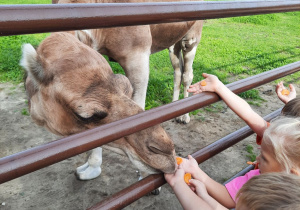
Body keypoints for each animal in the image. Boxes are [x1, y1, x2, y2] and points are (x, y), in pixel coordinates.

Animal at [57, 0, 204, 124]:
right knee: (177, 71)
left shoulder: (139, 55)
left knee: (187, 73)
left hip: (191, 38)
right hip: (174, 42)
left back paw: (184, 117)